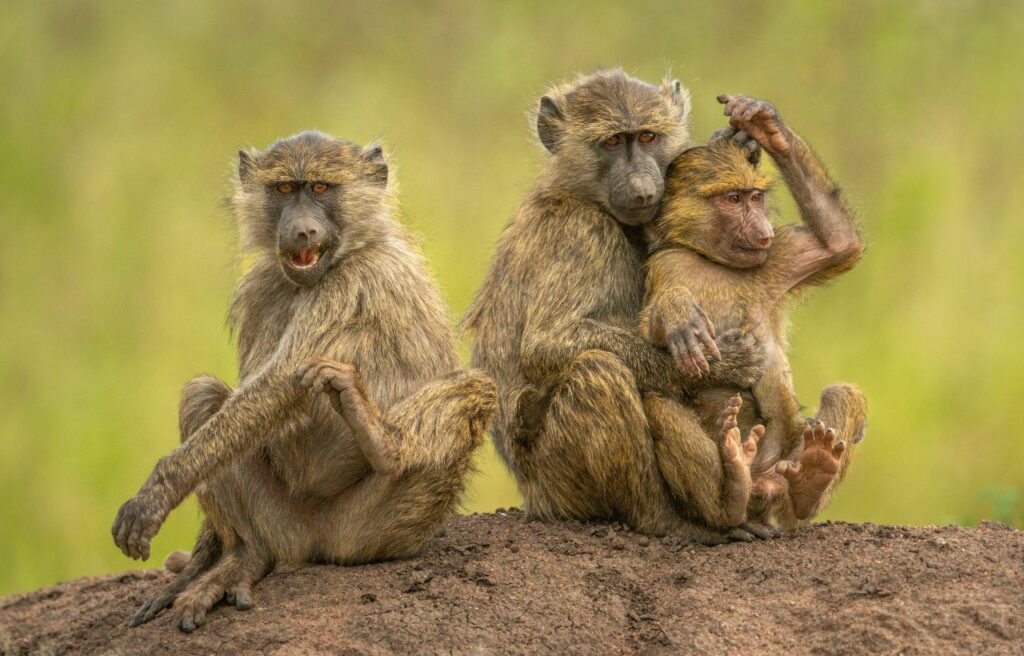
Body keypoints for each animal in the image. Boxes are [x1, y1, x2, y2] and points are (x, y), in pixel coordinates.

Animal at [110, 131, 497, 632]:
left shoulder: (354, 283)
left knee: (477, 388)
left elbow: (280, 383)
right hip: (284, 525)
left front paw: (155, 495)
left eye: (320, 188)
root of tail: (316, 543)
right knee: (202, 397)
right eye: (283, 189)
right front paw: (198, 560)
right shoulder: (261, 287)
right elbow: (249, 401)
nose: (302, 232)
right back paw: (245, 558)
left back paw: (383, 443)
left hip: (377, 530)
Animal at [463, 69, 768, 544]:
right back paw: (672, 519)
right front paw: (727, 365)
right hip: (560, 485)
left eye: (647, 137)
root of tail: (534, 500)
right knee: (598, 371)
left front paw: (737, 138)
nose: (643, 190)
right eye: (611, 142)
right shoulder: (581, 233)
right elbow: (547, 343)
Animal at [639, 95, 868, 528]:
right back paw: (731, 493)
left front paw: (764, 124)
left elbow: (838, 244)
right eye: (732, 199)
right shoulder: (667, 263)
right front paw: (677, 314)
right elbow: (645, 326)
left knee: (841, 395)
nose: (763, 231)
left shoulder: (775, 258)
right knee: (659, 404)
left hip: (785, 464)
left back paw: (810, 480)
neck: (714, 262)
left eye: (755, 197)